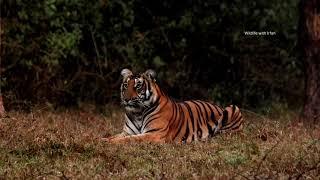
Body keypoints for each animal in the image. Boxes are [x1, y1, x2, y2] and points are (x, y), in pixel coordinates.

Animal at [104, 68, 244, 143]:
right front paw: (102, 140)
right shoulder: (126, 132)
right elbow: (114, 136)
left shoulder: (155, 133)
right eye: (125, 85)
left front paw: (109, 143)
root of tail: (218, 106)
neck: (137, 113)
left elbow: (131, 139)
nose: (126, 99)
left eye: (138, 86)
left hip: (233, 108)